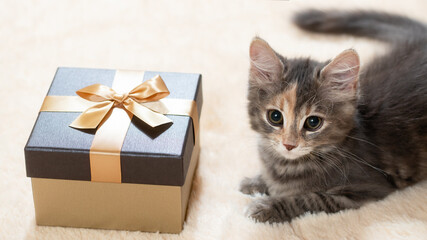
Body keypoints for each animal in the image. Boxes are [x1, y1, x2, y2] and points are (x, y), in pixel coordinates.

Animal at [241, 9, 427, 223]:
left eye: (313, 122)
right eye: (275, 117)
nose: (289, 145)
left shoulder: (365, 189)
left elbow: (310, 198)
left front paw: (266, 206)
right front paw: (255, 182)